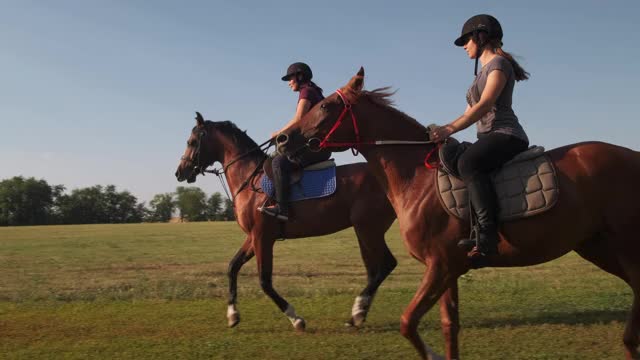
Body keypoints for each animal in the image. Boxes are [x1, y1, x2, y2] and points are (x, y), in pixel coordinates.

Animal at [174, 114, 404, 332]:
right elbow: (233, 267)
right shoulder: (253, 237)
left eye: (191, 141)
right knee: (374, 270)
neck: (250, 179)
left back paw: (357, 312)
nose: (179, 172)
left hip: (369, 229)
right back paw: (359, 314)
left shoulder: (262, 238)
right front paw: (232, 314)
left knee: (386, 264)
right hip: (363, 231)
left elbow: (264, 281)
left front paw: (296, 319)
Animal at [282, 68, 640, 360]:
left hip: (622, 244)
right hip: (597, 246)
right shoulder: (448, 268)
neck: (418, 177)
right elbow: (448, 325)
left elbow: (407, 322)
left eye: (325, 105)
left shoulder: (440, 266)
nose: (283, 138)